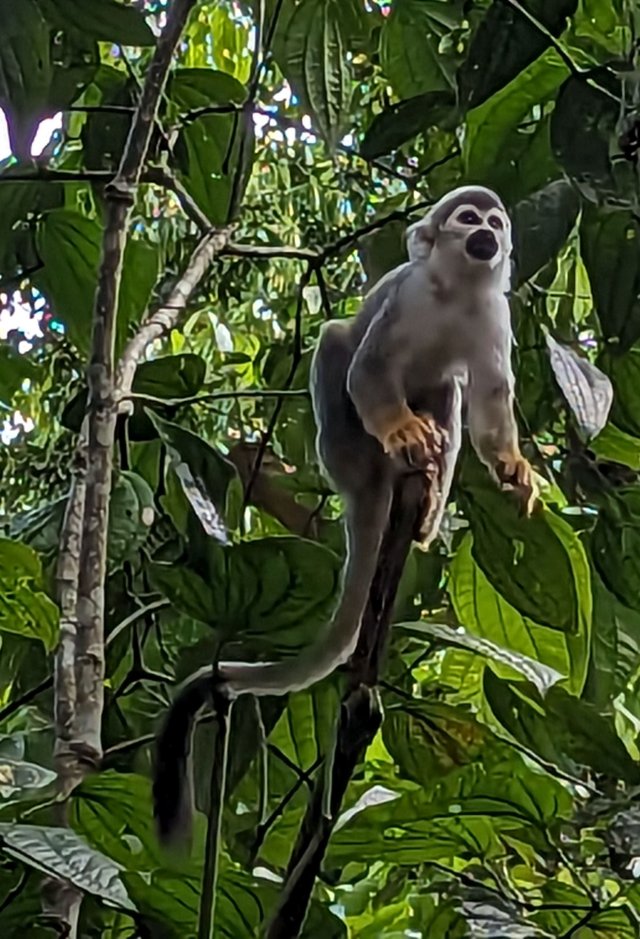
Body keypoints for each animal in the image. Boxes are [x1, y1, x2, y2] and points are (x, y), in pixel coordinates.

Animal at [153, 185, 538, 842]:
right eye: (468, 220)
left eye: (495, 222)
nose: (486, 234)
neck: (456, 290)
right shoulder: (406, 294)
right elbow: (368, 370)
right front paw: (402, 430)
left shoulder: (495, 316)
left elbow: (487, 404)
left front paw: (512, 467)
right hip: (342, 446)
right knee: (339, 341)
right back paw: (390, 453)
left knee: (449, 390)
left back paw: (426, 503)